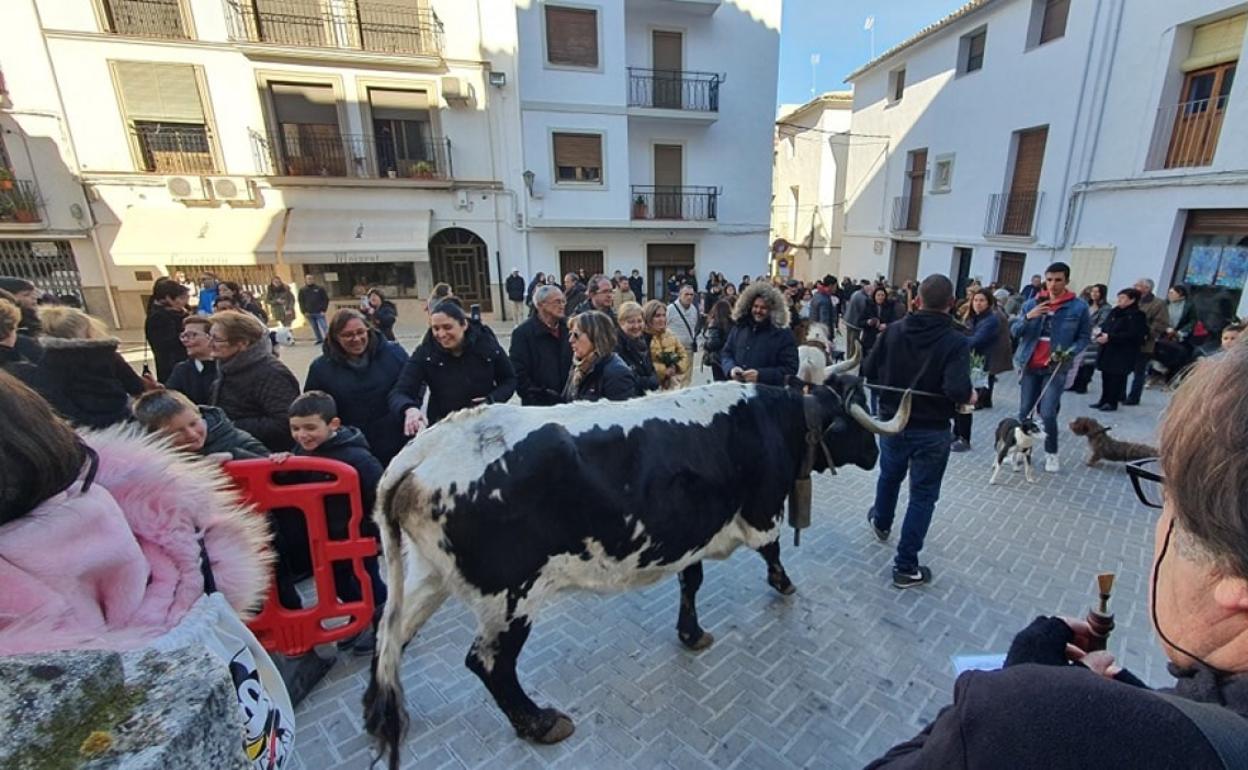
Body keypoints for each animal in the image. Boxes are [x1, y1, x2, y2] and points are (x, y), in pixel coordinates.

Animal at [361, 371, 908, 763]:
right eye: (859, 424)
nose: (877, 454)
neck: (773, 422)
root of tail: (428, 444)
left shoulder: (692, 535)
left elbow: (692, 580)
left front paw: (691, 632)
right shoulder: (758, 513)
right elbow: (772, 551)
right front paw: (784, 583)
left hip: (429, 576)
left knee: (392, 635)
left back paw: (373, 708)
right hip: (510, 595)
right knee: (489, 663)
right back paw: (540, 722)